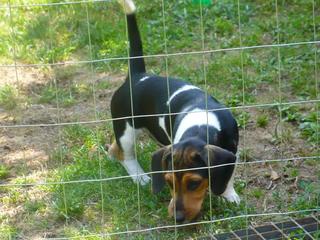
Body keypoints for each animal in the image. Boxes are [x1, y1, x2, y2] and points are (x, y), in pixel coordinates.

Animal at [110, 0, 240, 223]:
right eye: (169, 182)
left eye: (194, 183)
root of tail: (137, 76)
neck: (201, 125)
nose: (177, 218)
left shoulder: (233, 150)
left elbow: (228, 176)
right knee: (125, 155)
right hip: (125, 129)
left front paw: (228, 195)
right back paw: (140, 177)